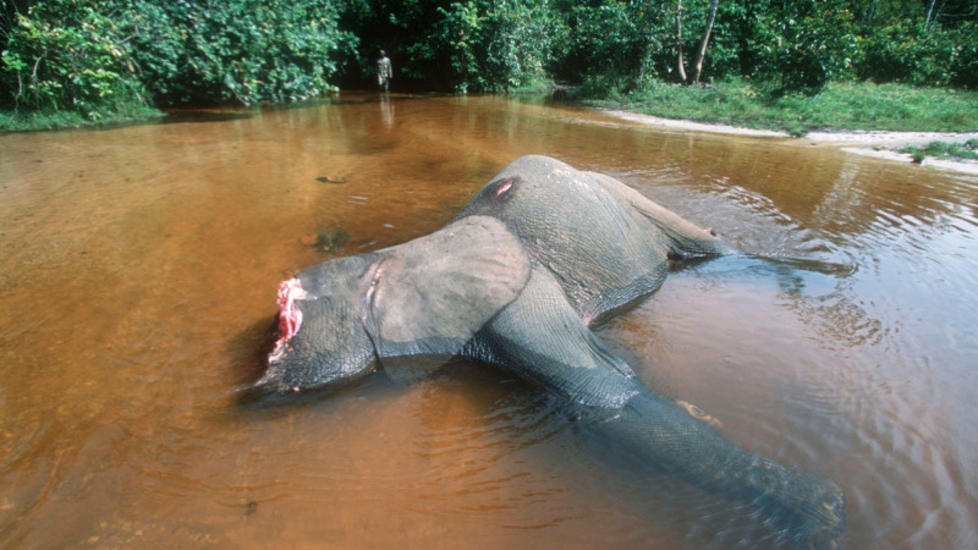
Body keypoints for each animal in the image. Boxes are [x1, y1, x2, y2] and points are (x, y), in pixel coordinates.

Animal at [254, 155, 846, 548]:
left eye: (286, 322)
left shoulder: (521, 295)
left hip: (624, 195)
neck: (400, 255)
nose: (259, 382)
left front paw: (822, 514)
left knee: (714, 248)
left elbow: (604, 392)